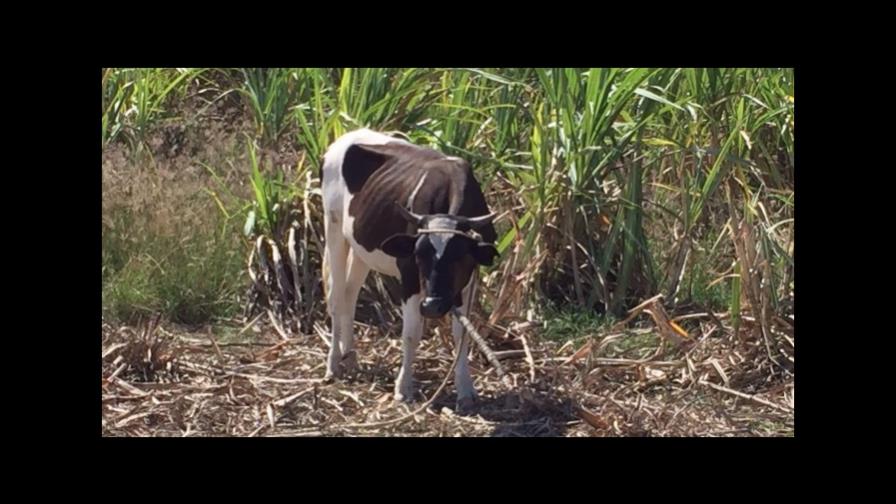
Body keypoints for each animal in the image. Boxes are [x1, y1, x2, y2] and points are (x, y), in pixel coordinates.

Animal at [320, 128, 498, 411]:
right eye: (418, 255)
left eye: (459, 257)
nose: (432, 306)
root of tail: (345, 138)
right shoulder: (409, 277)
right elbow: (411, 334)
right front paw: (403, 388)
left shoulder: (469, 280)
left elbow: (462, 334)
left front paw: (466, 390)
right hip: (334, 227)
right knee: (336, 298)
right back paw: (334, 364)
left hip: (360, 246)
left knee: (350, 294)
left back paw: (351, 358)